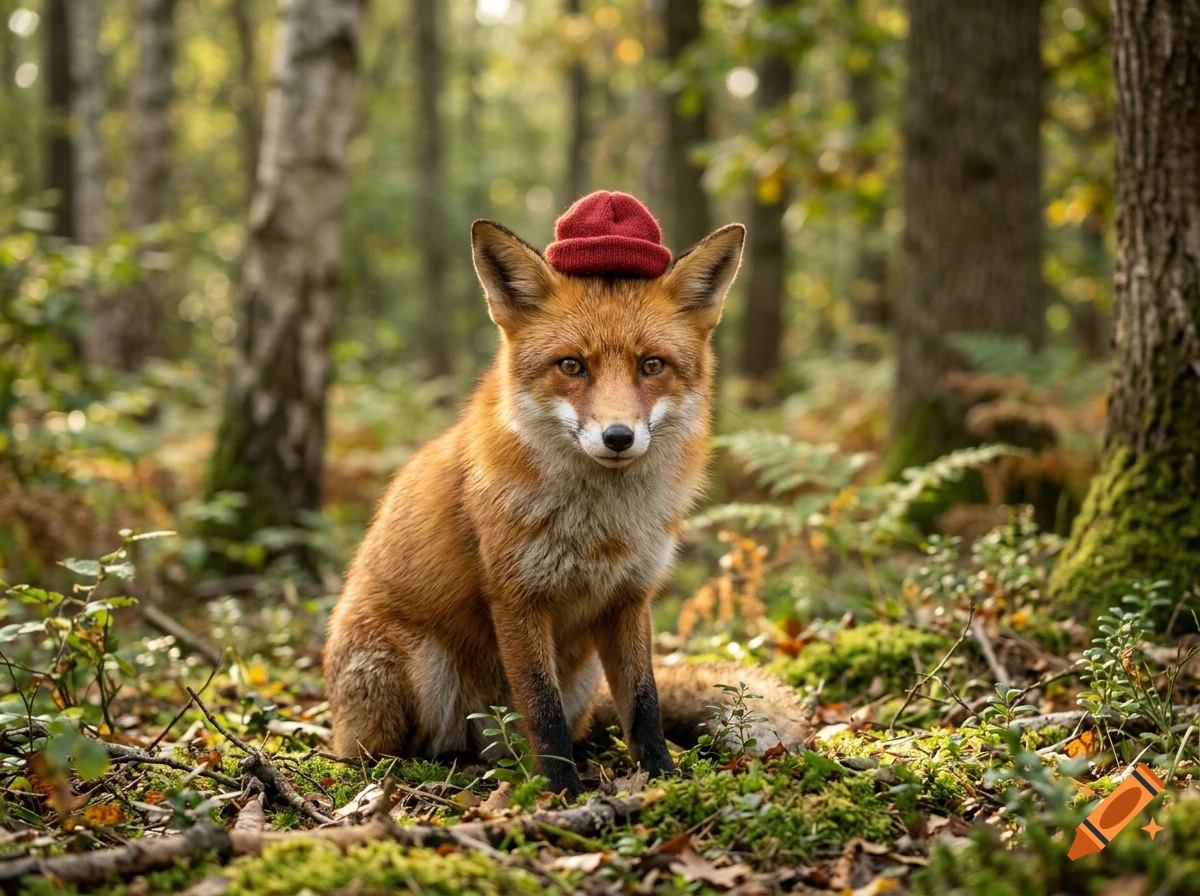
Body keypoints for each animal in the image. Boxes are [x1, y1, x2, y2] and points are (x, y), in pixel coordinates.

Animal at [324, 201, 808, 798]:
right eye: (572, 365)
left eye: (652, 365)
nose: (618, 436)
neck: (602, 528)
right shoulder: (516, 596)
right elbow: (541, 706)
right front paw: (560, 792)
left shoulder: (630, 598)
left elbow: (643, 704)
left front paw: (662, 779)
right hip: (418, 666)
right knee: (398, 750)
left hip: (584, 675)